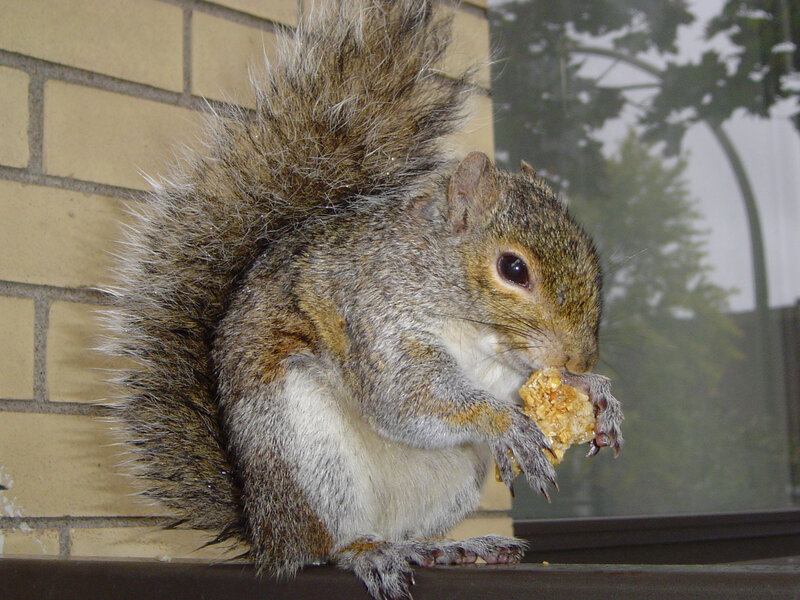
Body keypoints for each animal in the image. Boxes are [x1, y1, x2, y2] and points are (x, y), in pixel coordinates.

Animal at [105, 1, 623, 599]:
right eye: (513, 269)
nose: (579, 359)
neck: (478, 334)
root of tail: (266, 531)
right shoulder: (374, 315)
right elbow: (409, 397)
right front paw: (508, 424)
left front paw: (597, 395)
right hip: (305, 451)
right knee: (327, 545)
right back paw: (365, 552)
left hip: (450, 478)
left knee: (404, 534)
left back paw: (449, 547)